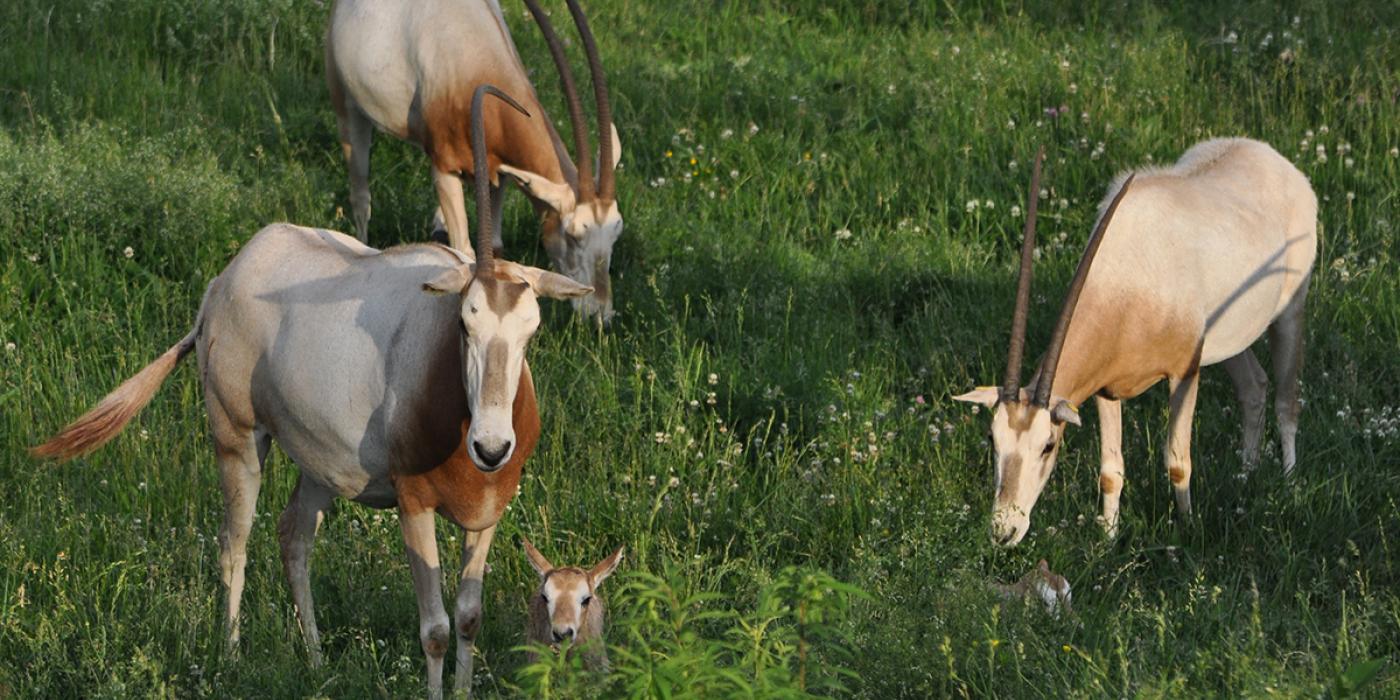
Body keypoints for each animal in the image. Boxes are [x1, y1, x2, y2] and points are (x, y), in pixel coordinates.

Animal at [34, 87, 585, 700]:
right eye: (465, 321)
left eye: (531, 328)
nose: (491, 447)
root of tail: (223, 283)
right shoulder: (413, 504)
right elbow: (437, 629)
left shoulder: (485, 517)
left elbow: (468, 617)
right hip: (238, 440)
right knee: (234, 542)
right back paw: (231, 655)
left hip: (322, 466)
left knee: (293, 535)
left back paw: (318, 660)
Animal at [327, 0, 624, 320]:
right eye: (572, 235)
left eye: (616, 233)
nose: (601, 314)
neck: (478, 65)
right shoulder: (444, 167)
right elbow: (463, 248)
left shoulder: (499, 174)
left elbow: (494, 246)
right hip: (348, 108)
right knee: (360, 196)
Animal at [957, 139, 1316, 546]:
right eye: (992, 438)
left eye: (1048, 444)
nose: (1004, 531)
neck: (1124, 278)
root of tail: (1276, 160)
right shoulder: (1107, 388)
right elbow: (1111, 471)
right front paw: (1108, 539)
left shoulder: (1184, 373)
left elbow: (1178, 461)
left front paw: (1186, 529)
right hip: (1227, 341)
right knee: (1254, 386)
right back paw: (1246, 474)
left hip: (1290, 312)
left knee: (1287, 402)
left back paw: (1289, 484)